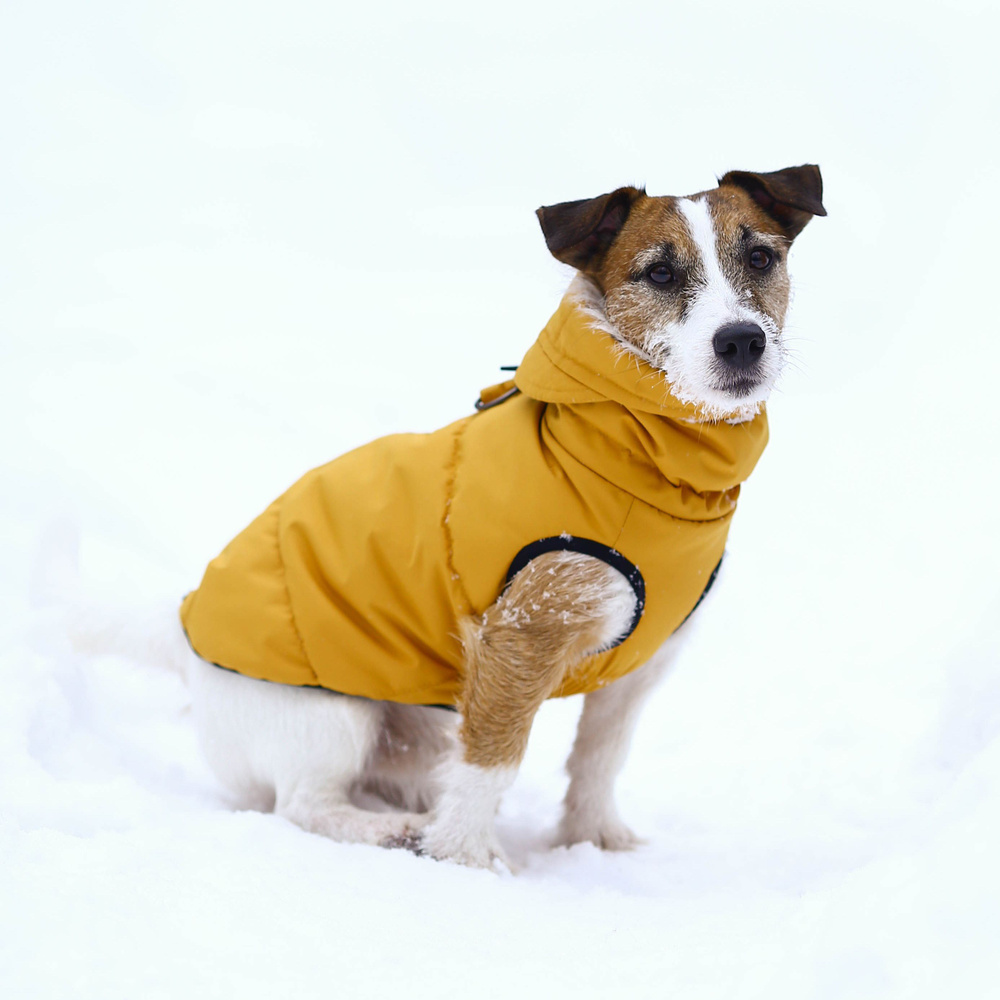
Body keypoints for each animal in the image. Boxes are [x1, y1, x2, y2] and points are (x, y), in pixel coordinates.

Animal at [164, 164, 824, 868]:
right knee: (304, 804)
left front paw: (594, 839)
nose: (741, 340)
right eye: (661, 273)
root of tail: (186, 643)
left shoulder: (639, 665)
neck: (627, 457)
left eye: (760, 258)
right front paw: (466, 858)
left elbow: (599, 757)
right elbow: (493, 759)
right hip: (332, 712)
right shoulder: (521, 636)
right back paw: (389, 831)